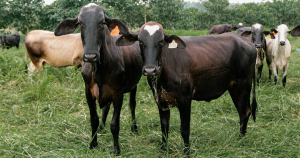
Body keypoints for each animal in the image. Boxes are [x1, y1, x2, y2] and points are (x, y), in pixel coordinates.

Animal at [54, 3, 143, 155]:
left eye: (102, 22)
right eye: (80, 23)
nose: (90, 56)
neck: (98, 70)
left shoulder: (118, 93)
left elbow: (115, 124)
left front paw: (116, 149)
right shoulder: (88, 91)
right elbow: (94, 120)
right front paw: (93, 143)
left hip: (134, 85)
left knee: (132, 105)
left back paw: (134, 127)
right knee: (106, 108)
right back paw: (102, 128)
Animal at [117, 21, 258, 156]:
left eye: (161, 41)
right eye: (140, 41)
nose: (150, 70)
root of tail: (248, 43)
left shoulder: (185, 100)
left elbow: (184, 129)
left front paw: (187, 152)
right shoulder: (161, 100)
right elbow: (164, 127)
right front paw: (163, 150)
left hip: (244, 84)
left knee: (244, 112)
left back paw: (240, 139)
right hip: (233, 87)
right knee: (244, 111)